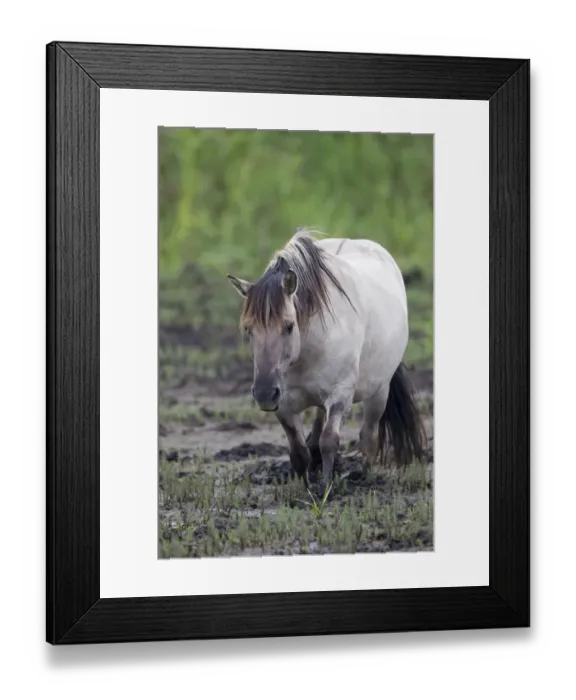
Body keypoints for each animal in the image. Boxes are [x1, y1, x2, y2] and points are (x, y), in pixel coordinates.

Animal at [227, 229, 425, 493]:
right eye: (249, 329)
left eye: (289, 326)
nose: (265, 394)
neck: (307, 351)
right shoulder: (285, 404)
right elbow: (298, 451)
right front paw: (305, 485)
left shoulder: (340, 395)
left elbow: (329, 441)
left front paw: (326, 487)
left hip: (379, 392)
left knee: (369, 435)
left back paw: (363, 475)